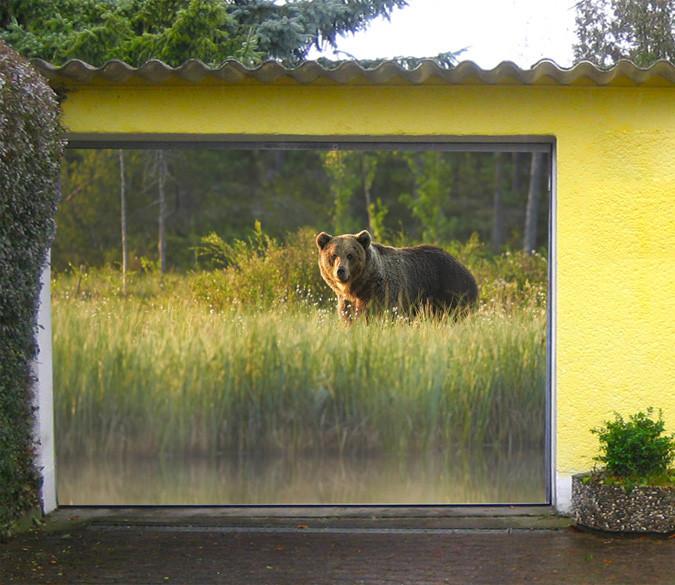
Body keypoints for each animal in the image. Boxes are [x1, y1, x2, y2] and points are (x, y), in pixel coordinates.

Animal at [315, 230, 478, 321]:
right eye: (333, 255)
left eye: (350, 255)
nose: (341, 271)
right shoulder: (347, 301)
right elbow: (349, 317)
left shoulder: (384, 292)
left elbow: (383, 314)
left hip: (451, 290)